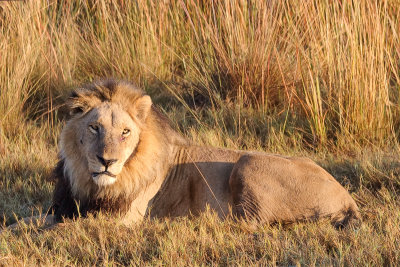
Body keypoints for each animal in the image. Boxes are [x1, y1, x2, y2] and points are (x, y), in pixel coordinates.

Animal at [5, 79, 360, 230]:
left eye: (125, 132)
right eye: (94, 127)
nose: (108, 162)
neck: (92, 183)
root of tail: (348, 197)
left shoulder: (123, 219)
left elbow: (59, 230)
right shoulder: (67, 206)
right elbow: (28, 221)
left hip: (249, 161)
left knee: (249, 225)